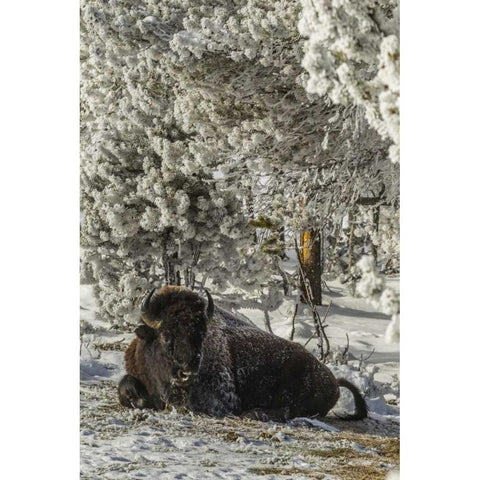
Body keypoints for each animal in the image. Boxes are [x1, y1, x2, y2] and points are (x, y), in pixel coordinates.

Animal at [119, 284, 368, 420]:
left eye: (201, 335)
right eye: (165, 335)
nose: (187, 372)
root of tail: (333, 379)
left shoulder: (221, 400)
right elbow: (125, 384)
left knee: (288, 409)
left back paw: (255, 413)